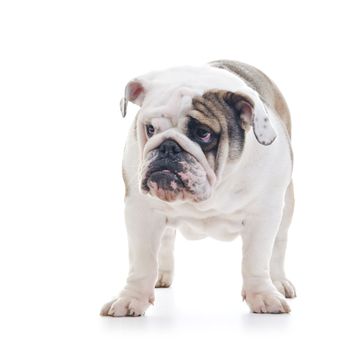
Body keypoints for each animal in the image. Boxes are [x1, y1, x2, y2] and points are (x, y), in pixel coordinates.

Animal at [100, 60, 296, 318]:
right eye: (150, 129)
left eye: (203, 133)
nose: (168, 147)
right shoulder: (140, 212)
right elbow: (142, 262)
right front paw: (131, 299)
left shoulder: (263, 215)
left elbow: (256, 260)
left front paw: (263, 296)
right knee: (165, 239)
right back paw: (161, 275)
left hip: (286, 205)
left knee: (279, 244)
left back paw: (279, 282)